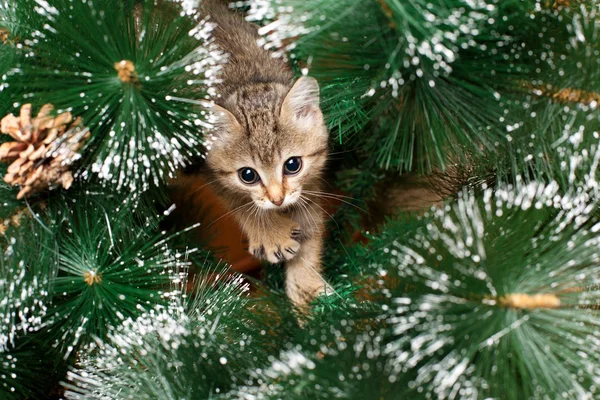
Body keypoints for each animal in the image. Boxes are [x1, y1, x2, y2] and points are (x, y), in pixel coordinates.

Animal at [202, 0, 332, 308]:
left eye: (293, 165)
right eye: (247, 175)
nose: (277, 199)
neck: (246, 82)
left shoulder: (310, 180)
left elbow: (311, 225)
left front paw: (306, 289)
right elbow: (236, 198)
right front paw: (270, 232)